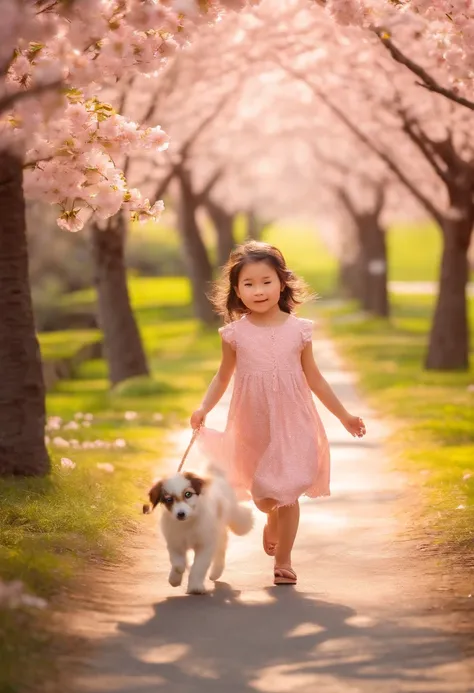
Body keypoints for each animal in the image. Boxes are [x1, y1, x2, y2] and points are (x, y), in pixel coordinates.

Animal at [145, 464, 254, 596]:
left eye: (188, 494)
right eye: (169, 499)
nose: (180, 514)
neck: (188, 522)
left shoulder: (205, 544)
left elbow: (198, 566)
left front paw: (195, 587)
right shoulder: (175, 542)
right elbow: (177, 563)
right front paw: (175, 579)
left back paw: (216, 572)